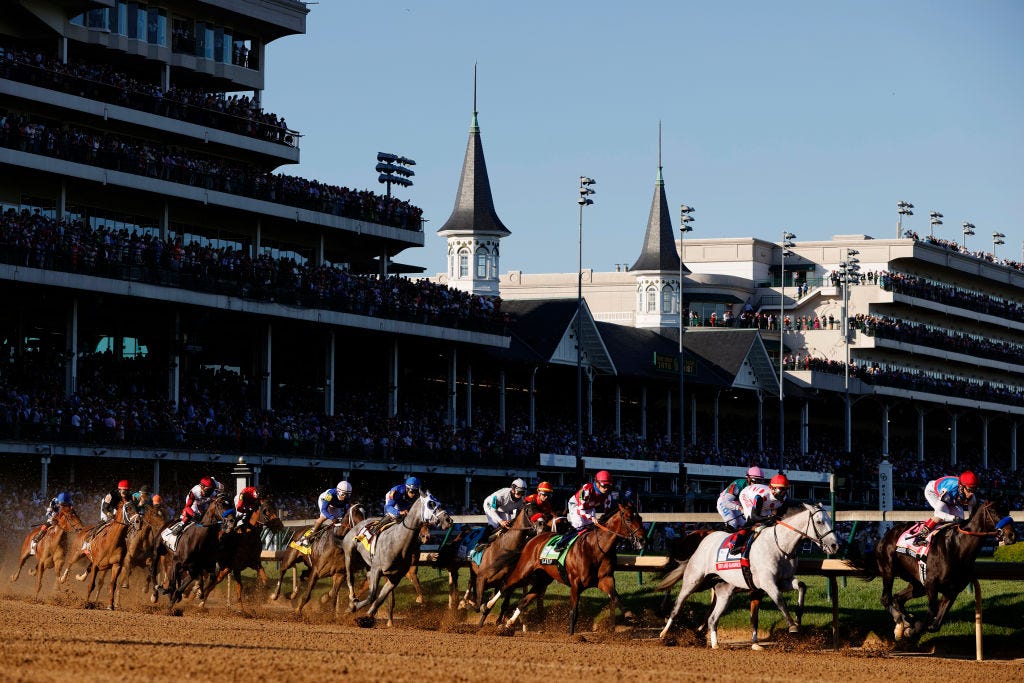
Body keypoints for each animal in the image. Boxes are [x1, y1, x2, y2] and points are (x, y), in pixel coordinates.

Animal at [491, 501, 643, 634]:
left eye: (640, 518)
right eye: (629, 519)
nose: (643, 540)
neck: (596, 549)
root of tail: (534, 539)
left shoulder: (606, 579)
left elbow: (615, 596)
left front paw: (630, 615)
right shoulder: (576, 583)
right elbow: (573, 612)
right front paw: (571, 636)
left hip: (542, 580)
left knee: (523, 601)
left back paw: (508, 623)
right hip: (523, 570)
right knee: (506, 585)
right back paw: (489, 606)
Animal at [864, 497, 1015, 643]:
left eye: (1007, 511)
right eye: (994, 511)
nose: (1012, 535)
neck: (958, 548)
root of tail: (886, 535)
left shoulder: (952, 590)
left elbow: (935, 625)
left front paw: (911, 627)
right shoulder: (931, 585)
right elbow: (931, 613)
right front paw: (911, 631)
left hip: (918, 584)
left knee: (898, 598)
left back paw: (904, 622)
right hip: (889, 570)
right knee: (886, 599)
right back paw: (901, 621)